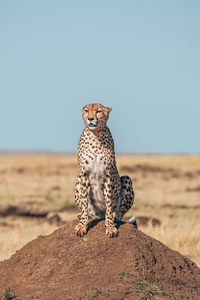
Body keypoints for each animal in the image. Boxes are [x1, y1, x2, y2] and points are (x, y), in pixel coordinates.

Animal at [74, 103, 134, 237]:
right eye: (86, 110)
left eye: (98, 111)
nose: (90, 119)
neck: (95, 135)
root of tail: (99, 215)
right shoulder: (84, 175)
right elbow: (84, 203)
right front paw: (82, 225)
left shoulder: (108, 175)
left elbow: (109, 203)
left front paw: (110, 226)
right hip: (78, 179)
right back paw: (82, 216)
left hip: (126, 179)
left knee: (120, 211)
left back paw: (115, 216)